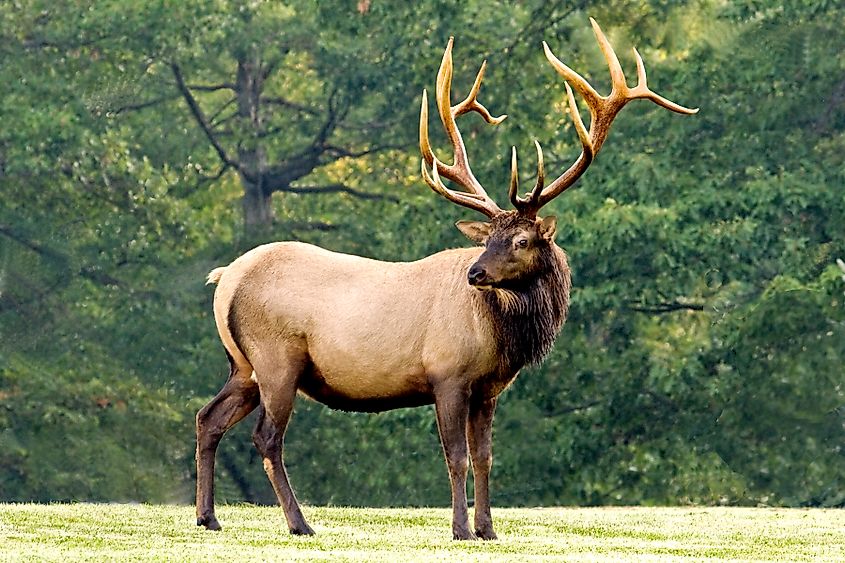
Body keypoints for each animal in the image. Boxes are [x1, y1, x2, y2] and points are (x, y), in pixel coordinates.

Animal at [195, 19, 696, 540]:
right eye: (488, 239)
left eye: (520, 240)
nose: (476, 274)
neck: (503, 336)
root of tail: (225, 279)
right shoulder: (448, 375)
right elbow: (457, 458)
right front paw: (460, 529)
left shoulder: (488, 389)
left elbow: (486, 457)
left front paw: (489, 529)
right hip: (277, 359)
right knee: (266, 438)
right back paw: (299, 524)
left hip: (243, 365)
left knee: (208, 418)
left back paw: (208, 517)